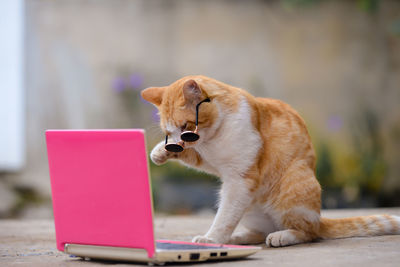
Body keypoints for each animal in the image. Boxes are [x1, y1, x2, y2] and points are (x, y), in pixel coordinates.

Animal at [141, 75, 400, 247]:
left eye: (186, 127)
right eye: (169, 133)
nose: (176, 142)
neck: (213, 137)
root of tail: (320, 218)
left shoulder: (240, 180)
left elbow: (224, 219)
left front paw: (212, 239)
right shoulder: (210, 162)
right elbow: (192, 158)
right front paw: (160, 152)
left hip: (291, 185)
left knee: (308, 232)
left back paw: (282, 236)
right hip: (247, 205)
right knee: (258, 230)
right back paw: (239, 237)